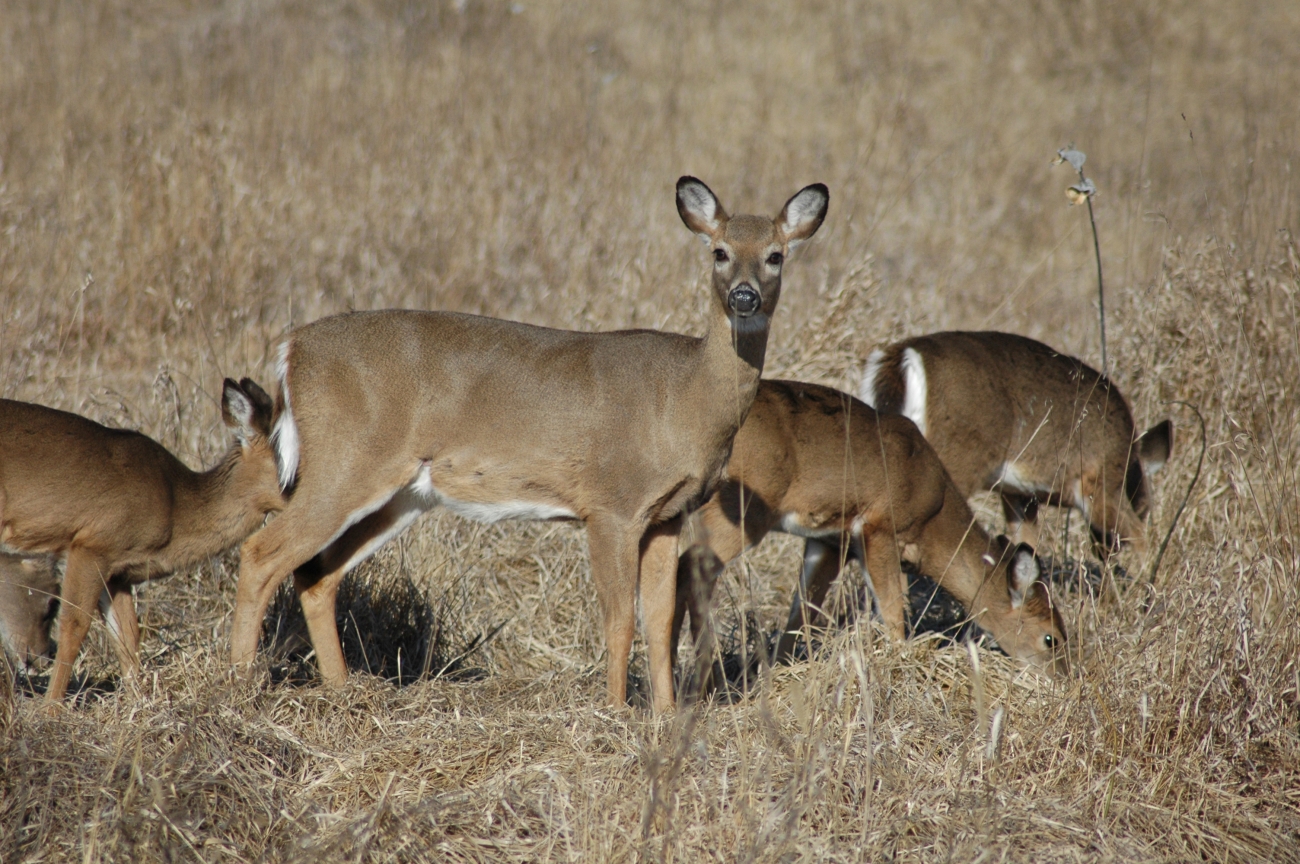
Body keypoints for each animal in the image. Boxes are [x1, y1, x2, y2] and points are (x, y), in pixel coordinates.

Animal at [0, 378, 283, 704]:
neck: (175, 508)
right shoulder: (91, 544)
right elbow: (75, 626)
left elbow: (127, 636)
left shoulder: (118, 573)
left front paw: (140, 701)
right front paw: (51, 707)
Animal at [227, 177, 830, 713]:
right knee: (262, 553)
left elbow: (660, 622)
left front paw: (664, 716)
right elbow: (619, 619)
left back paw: (344, 691)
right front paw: (615, 714)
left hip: (400, 492)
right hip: (346, 461)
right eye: (720, 252)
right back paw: (237, 685)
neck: (684, 400)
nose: (745, 297)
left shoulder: (667, 514)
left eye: (775, 256)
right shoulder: (611, 504)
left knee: (317, 574)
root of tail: (292, 349)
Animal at [673, 380, 1068, 695]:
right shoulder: (879, 527)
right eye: (1051, 638)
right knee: (691, 565)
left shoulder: (830, 542)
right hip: (743, 511)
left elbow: (800, 616)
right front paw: (902, 666)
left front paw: (783, 675)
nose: (1063, 680)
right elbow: (893, 613)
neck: (934, 512)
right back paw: (705, 683)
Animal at [860, 331, 1172, 561]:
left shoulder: (1019, 494)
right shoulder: (1098, 482)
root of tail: (902, 356)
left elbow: (1027, 545)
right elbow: (1139, 536)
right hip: (955, 460)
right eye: (1146, 506)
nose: (1103, 551)